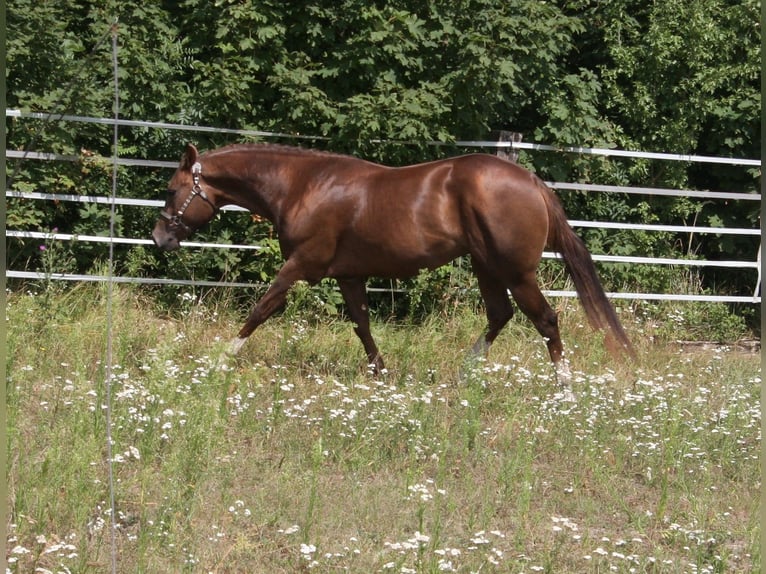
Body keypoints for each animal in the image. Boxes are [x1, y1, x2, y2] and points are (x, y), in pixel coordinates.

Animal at [152, 143, 634, 386]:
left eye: (172, 190)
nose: (160, 238)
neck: (304, 186)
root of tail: (533, 182)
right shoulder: (349, 275)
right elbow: (362, 324)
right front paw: (381, 375)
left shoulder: (302, 264)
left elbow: (262, 308)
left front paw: (219, 358)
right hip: (486, 267)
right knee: (501, 315)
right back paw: (462, 376)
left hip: (515, 272)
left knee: (546, 320)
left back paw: (563, 389)